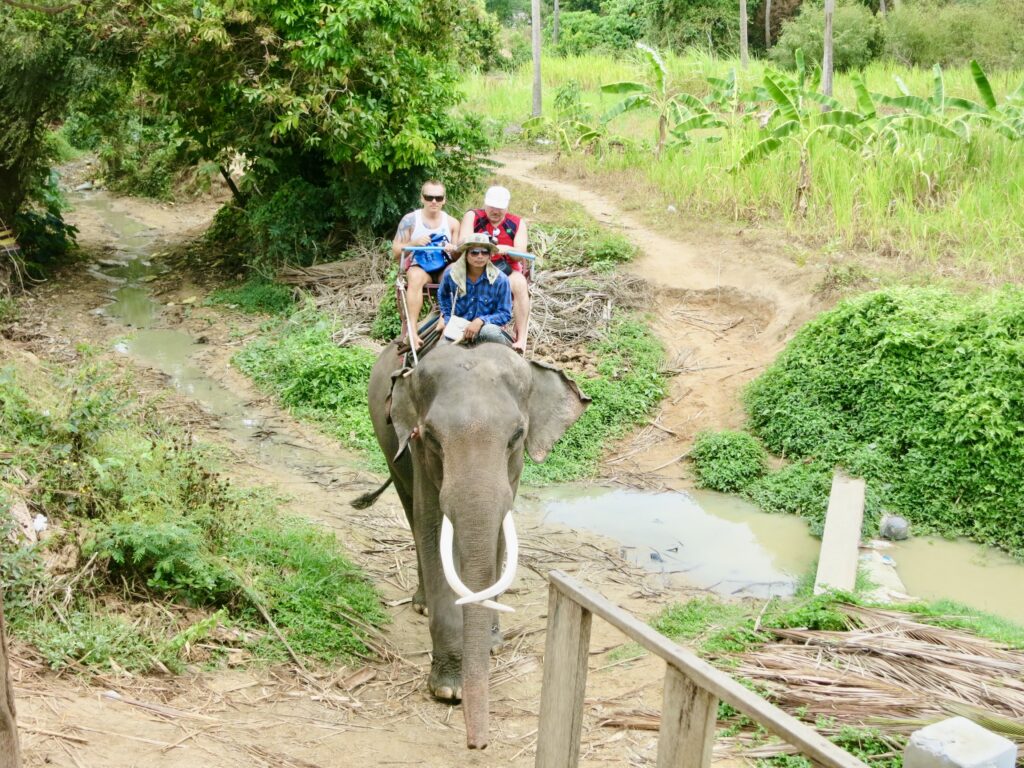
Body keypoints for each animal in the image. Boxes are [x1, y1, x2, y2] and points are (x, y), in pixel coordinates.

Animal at [356, 342, 589, 753]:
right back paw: (421, 603)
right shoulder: (418, 452)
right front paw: (449, 689)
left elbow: (497, 531)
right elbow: (432, 528)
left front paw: (492, 642)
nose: (477, 744)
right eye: (432, 436)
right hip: (386, 440)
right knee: (410, 509)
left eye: (517, 435)